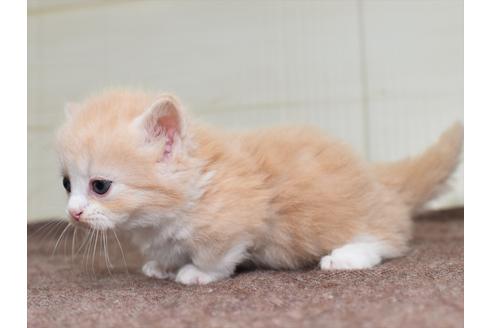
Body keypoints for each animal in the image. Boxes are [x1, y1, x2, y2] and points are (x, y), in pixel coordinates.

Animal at [55, 89, 464, 284]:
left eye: (100, 186)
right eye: (66, 184)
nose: (74, 213)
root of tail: (376, 176)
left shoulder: (238, 216)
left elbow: (217, 254)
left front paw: (197, 273)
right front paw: (163, 265)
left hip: (340, 215)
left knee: (390, 237)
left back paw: (347, 256)